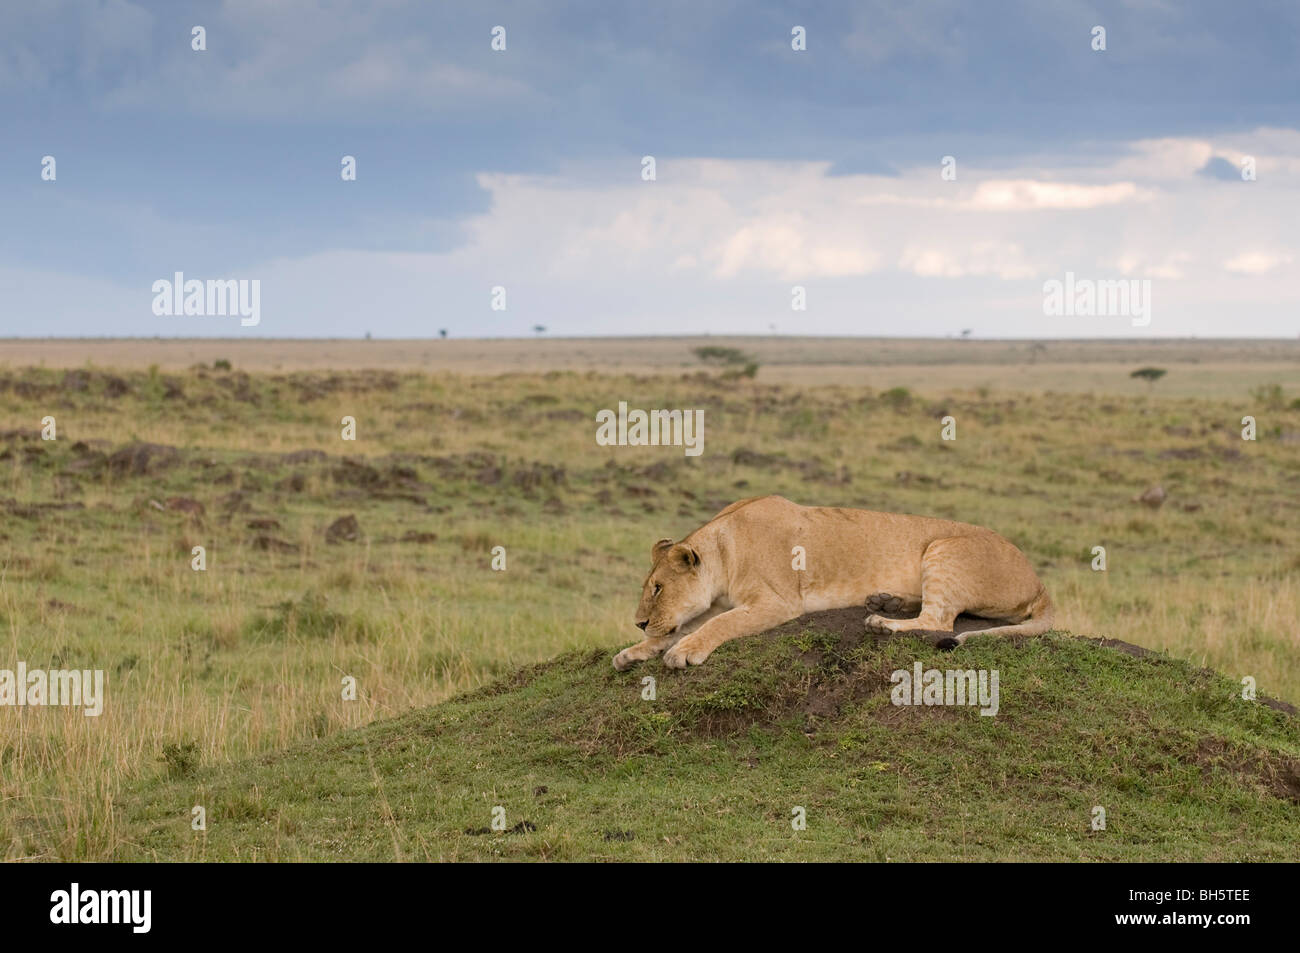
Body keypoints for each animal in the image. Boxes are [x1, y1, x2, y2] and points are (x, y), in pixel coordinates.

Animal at [613, 495, 1053, 670]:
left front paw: (683, 652)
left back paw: (883, 621)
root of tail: (1038, 580)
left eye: (658, 588)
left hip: (944, 547)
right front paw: (634, 651)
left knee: (940, 621)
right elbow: (680, 627)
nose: (638, 622)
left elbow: (718, 625)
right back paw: (886, 601)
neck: (724, 548)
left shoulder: (778, 603)